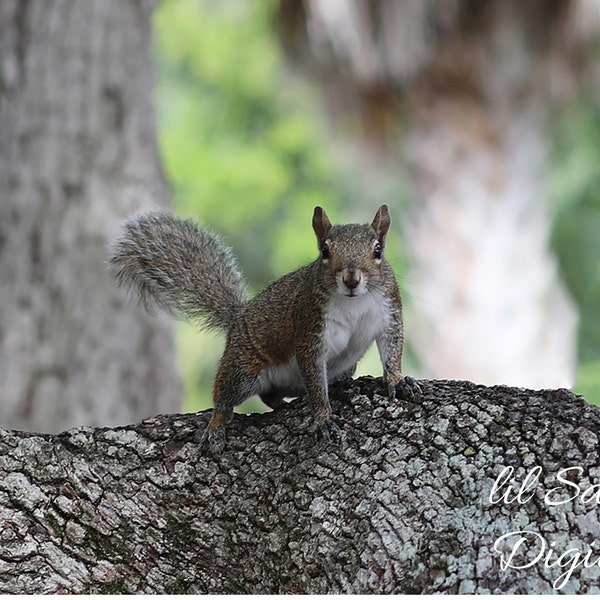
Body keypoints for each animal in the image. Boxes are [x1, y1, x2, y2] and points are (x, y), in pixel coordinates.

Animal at [108, 204, 420, 452]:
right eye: (324, 250)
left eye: (378, 250)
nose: (352, 279)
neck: (354, 301)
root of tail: (239, 317)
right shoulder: (310, 326)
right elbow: (314, 378)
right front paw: (323, 417)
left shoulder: (389, 311)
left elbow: (392, 349)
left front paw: (397, 380)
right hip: (244, 368)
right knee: (227, 395)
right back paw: (217, 425)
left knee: (271, 395)